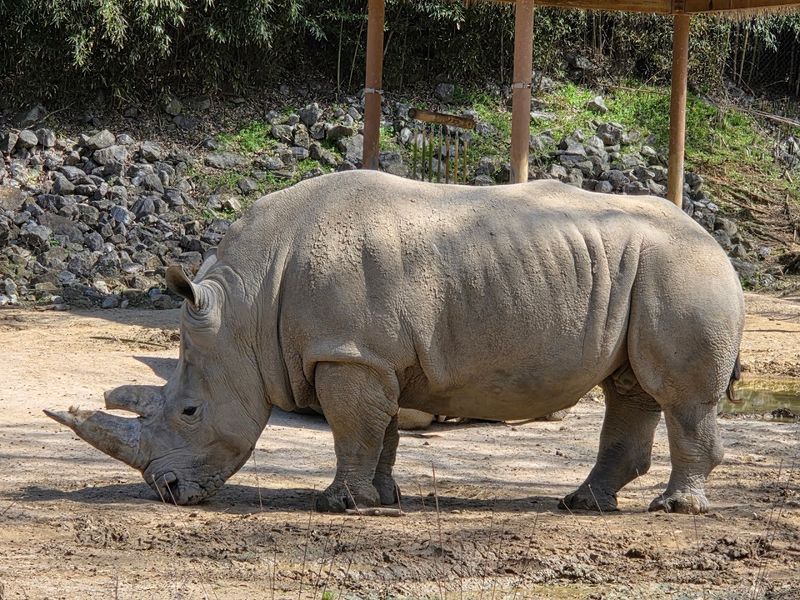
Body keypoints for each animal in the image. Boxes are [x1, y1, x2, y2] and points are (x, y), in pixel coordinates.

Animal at [46, 170, 744, 515]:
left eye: (190, 412)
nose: (166, 492)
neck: (245, 305)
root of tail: (714, 240)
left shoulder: (348, 350)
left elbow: (351, 427)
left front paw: (336, 504)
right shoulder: (373, 355)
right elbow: (381, 430)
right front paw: (383, 498)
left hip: (683, 270)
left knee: (679, 397)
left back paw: (674, 509)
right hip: (648, 269)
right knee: (630, 388)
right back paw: (582, 505)